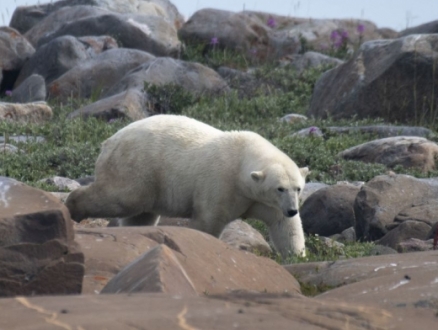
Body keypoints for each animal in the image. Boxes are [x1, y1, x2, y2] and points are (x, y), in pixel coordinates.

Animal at [66, 114, 310, 256]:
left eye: (298, 188)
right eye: (279, 188)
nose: (293, 209)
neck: (242, 159)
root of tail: (109, 141)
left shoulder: (261, 200)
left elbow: (284, 226)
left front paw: (296, 256)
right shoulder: (221, 182)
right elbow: (208, 221)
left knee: (141, 215)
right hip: (137, 166)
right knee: (122, 198)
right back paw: (73, 207)